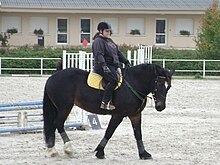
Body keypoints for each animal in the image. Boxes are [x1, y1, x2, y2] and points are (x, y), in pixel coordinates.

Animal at [42, 63, 174, 159]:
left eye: (168, 86)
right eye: (157, 82)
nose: (160, 106)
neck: (133, 83)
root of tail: (52, 77)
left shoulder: (135, 115)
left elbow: (138, 133)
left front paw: (143, 154)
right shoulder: (118, 115)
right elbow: (109, 132)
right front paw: (100, 152)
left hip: (60, 108)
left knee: (53, 125)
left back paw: (52, 150)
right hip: (65, 107)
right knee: (58, 123)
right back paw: (68, 149)